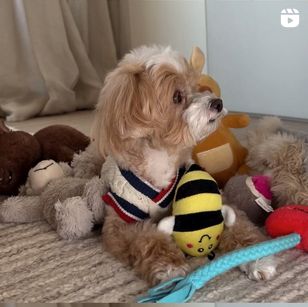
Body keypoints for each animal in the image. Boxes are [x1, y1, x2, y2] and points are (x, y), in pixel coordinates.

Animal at [91, 45, 276, 286]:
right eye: (177, 96)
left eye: (197, 86)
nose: (218, 103)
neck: (161, 158)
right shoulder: (121, 223)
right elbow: (149, 238)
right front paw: (170, 267)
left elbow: (239, 226)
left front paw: (256, 257)